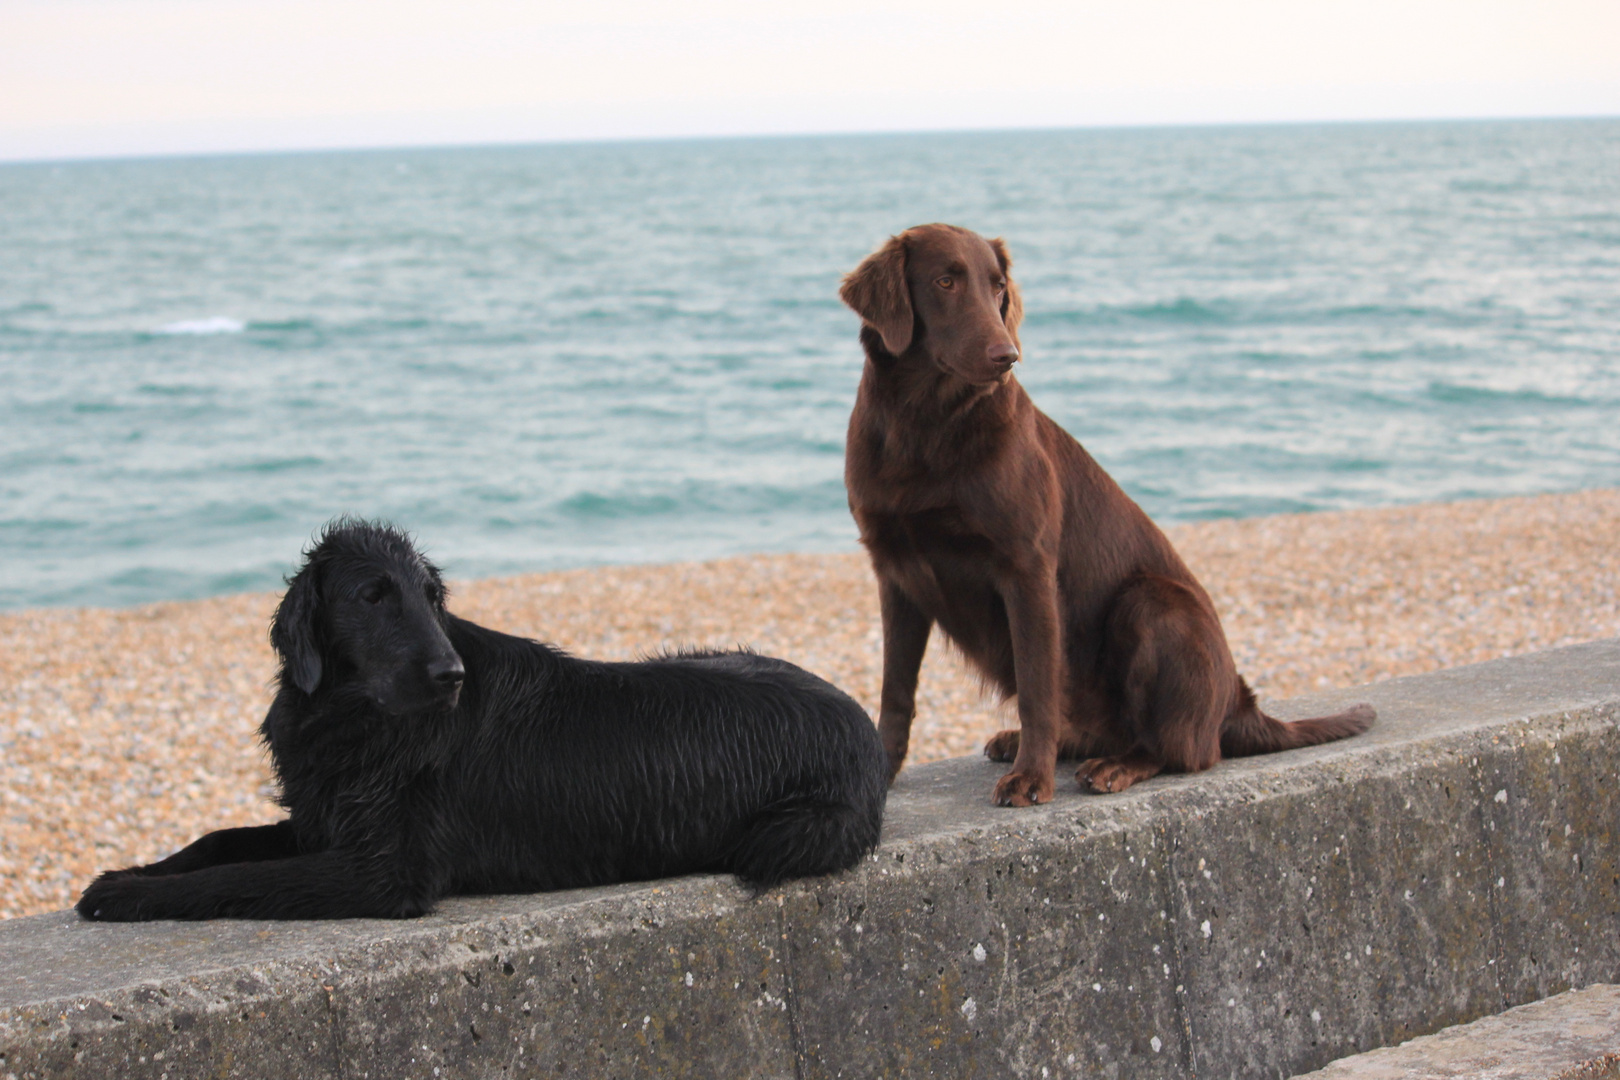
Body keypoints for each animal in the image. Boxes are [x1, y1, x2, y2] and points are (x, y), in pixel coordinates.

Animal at [76, 521, 887, 919]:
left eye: (431, 597)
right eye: (373, 596)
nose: (451, 676)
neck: (362, 721)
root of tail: (868, 737)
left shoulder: (385, 871)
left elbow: (238, 878)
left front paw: (125, 895)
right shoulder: (321, 820)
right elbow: (218, 844)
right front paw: (132, 870)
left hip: (787, 827)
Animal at [842, 226, 1373, 803]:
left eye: (998, 287)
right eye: (945, 282)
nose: (1008, 355)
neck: (924, 426)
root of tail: (1238, 706)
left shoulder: (1027, 569)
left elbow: (1037, 687)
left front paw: (1032, 778)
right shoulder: (896, 572)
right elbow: (895, 693)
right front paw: (879, 774)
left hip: (1151, 603)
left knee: (1185, 749)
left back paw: (1116, 764)